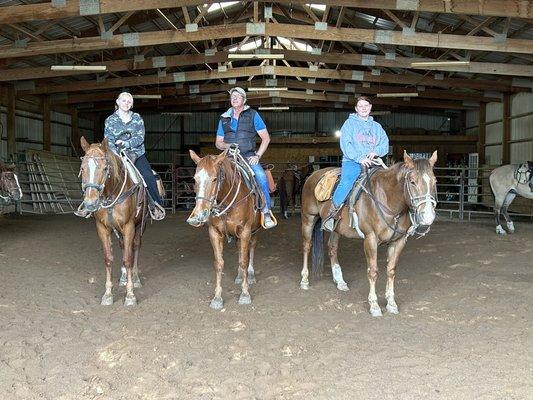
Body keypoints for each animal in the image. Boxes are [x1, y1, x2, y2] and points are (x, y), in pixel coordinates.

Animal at [77, 138, 148, 306]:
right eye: (83, 168)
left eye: (104, 168)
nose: (90, 203)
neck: (112, 193)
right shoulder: (102, 228)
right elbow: (108, 259)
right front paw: (108, 294)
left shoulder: (129, 227)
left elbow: (128, 259)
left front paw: (130, 295)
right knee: (123, 246)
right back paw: (123, 278)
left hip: (139, 225)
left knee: (135, 247)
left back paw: (135, 278)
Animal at [186, 149, 262, 310]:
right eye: (195, 179)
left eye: (215, 179)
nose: (198, 216)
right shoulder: (214, 233)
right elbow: (219, 263)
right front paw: (217, 298)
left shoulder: (245, 231)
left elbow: (244, 261)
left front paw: (245, 294)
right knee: (239, 249)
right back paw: (239, 276)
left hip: (255, 230)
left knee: (251, 248)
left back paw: (250, 275)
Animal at [300, 152, 436, 318]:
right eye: (412, 181)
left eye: (435, 181)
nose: (428, 216)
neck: (388, 200)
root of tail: (314, 174)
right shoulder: (370, 240)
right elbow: (373, 272)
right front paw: (374, 305)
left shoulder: (399, 241)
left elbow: (391, 270)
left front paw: (391, 303)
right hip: (308, 218)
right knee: (307, 246)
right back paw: (304, 280)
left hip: (336, 228)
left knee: (332, 248)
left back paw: (340, 281)